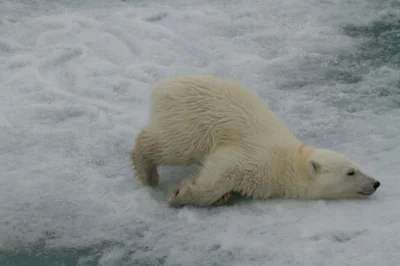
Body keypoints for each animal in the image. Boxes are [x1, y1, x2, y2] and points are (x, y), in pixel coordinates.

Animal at [131, 75, 382, 208]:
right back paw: (147, 173)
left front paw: (223, 196)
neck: (290, 162)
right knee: (173, 145)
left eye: (357, 166)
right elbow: (223, 166)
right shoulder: (257, 159)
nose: (376, 183)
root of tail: (164, 86)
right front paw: (181, 194)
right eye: (351, 172)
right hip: (190, 119)